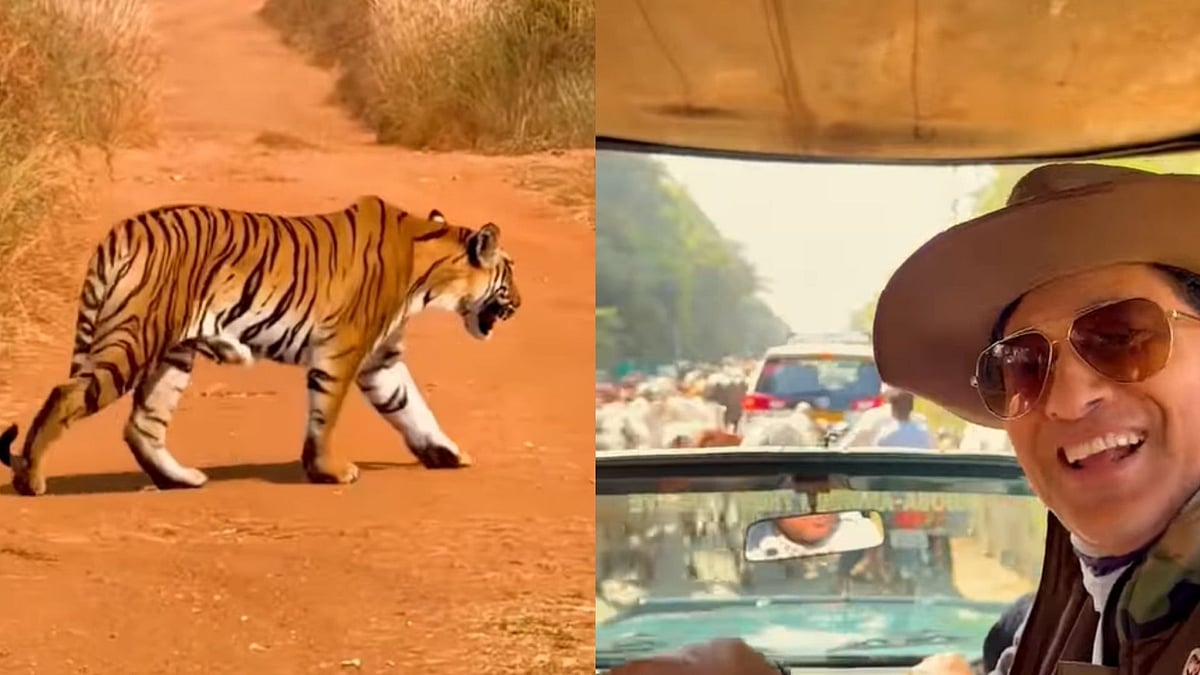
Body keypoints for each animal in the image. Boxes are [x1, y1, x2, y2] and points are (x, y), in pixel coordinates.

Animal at [0, 195, 521, 496]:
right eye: (509, 274)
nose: (519, 303)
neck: (429, 275)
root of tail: (121, 230)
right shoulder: (343, 351)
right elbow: (326, 415)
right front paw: (329, 471)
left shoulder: (381, 360)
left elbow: (412, 406)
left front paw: (447, 453)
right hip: (134, 340)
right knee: (67, 394)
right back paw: (31, 481)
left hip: (172, 355)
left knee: (142, 425)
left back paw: (180, 480)